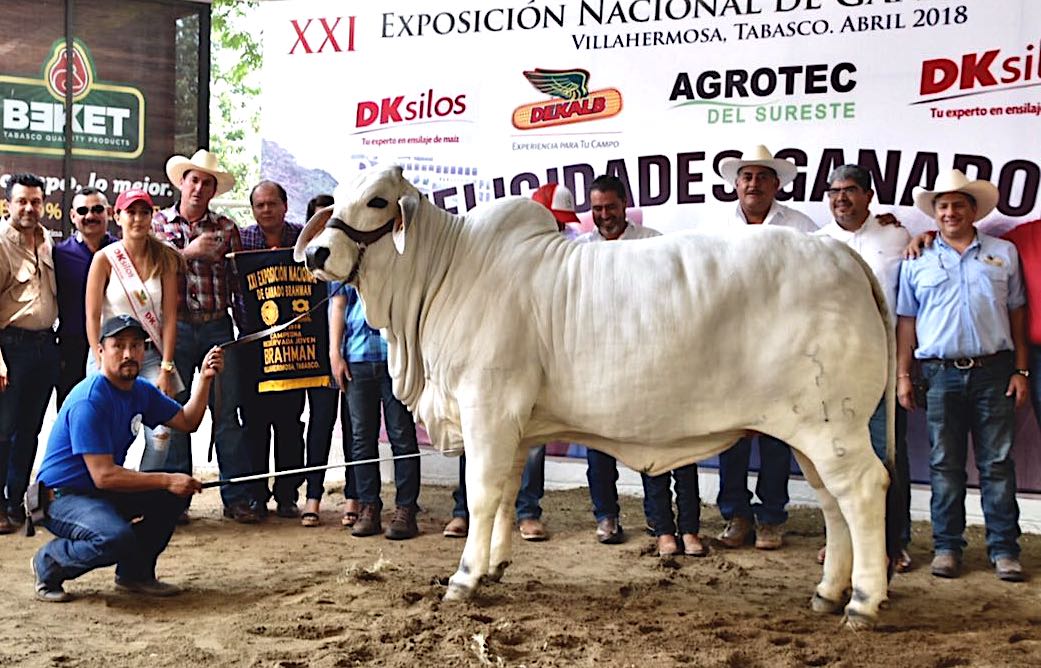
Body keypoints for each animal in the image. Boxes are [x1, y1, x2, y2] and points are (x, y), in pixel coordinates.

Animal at [297, 165, 899, 624]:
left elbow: (484, 492)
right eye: (338, 202)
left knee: (863, 491)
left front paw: (464, 578)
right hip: (813, 431)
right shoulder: (515, 426)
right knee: (833, 503)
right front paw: (494, 565)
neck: (444, 276)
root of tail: (840, 253)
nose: (317, 254)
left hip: (832, 425)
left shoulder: (487, 409)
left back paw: (863, 602)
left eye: (377, 200)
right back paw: (828, 593)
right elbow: (507, 494)